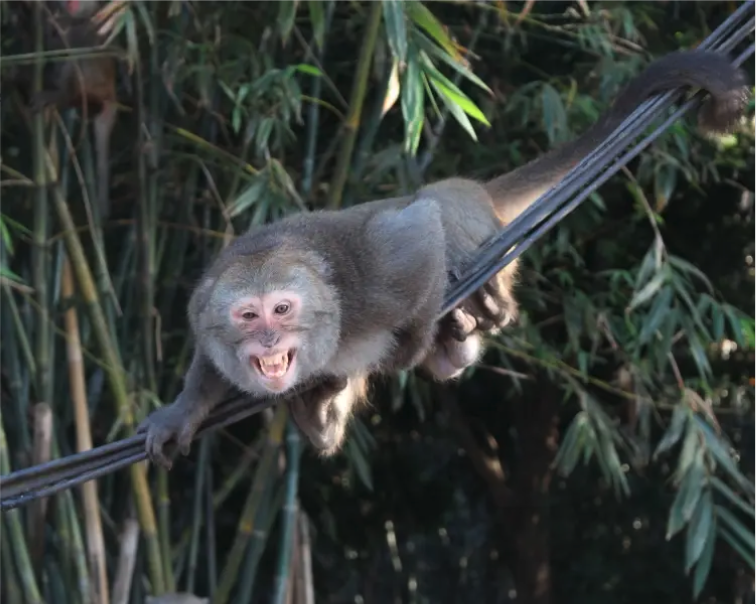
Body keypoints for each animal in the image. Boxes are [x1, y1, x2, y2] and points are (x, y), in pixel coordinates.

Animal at [30, 0, 118, 219]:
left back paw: (61, 95)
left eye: (76, 2)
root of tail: (111, 92)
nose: (68, 5)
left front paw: (41, 16)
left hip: (95, 85)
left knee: (75, 62)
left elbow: (60, 47)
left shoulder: (80, 30)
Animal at [138, 49, 748, 466]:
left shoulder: (365, 287)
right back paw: (323, 410)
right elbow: (209, 355)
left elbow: (416, 233)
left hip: (468, 215)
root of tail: (478, 191)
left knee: (435, 205)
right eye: (248, 316)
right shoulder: (204, 299)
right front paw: (185, 409)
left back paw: (479, 305)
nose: (267, 339)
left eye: (281, 310)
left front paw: (408, 344)